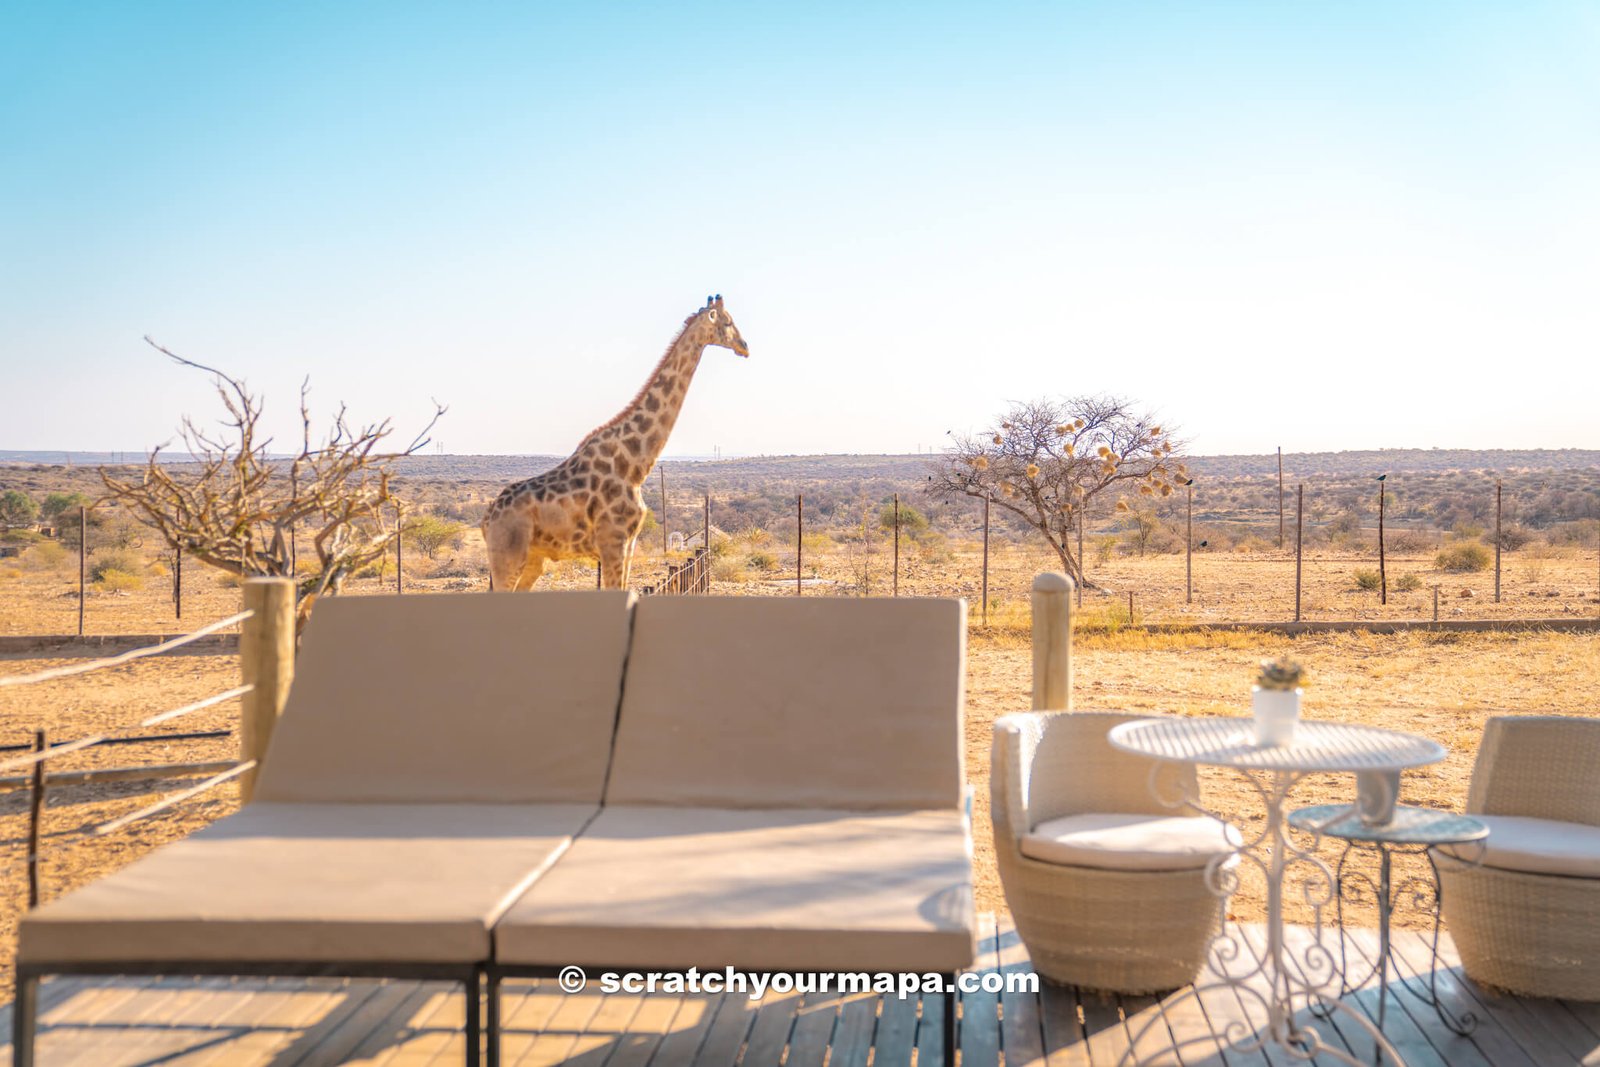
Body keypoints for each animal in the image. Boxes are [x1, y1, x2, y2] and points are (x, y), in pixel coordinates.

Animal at [480, 294, 748, 591]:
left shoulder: (629, 545)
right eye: (728, 322)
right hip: (507, 556)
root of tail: (487, 518)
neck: (634, 465)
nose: (745, 347)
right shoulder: (612, 542)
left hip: (533, 559)